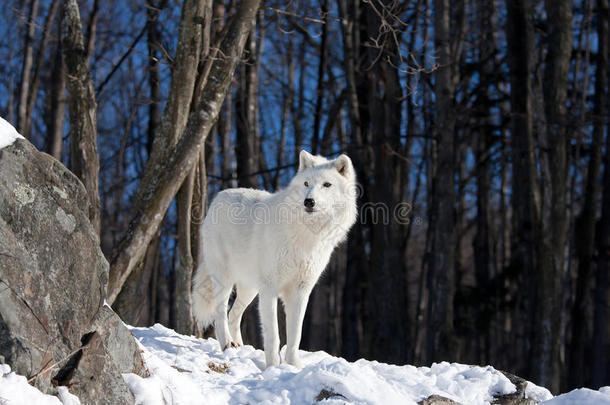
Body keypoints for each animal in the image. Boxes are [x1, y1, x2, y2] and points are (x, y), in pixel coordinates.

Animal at [192, 150, 356, 368]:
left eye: (327, 184)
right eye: (306, 184)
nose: (309, 201)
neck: (307, 235)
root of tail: (219, 195)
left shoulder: (300, 291)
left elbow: (295, 335)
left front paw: (293, 367)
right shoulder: (270, 289)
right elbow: (273, 335)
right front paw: (272, 366)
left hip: (250, 289)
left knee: (233, 314)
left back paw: (240, 346)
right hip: (225, 280)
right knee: (220, 313)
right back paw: (227, 344)